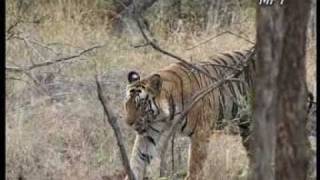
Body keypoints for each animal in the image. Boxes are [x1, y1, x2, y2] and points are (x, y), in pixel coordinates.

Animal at [124, 47, 256, 180]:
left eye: (140, 104)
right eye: (127, 104)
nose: (128, 123)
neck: (164, 117)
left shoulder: (201, 132)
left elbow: (194, 165)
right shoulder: (149, 132)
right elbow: (137, 159)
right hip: (246, 127)